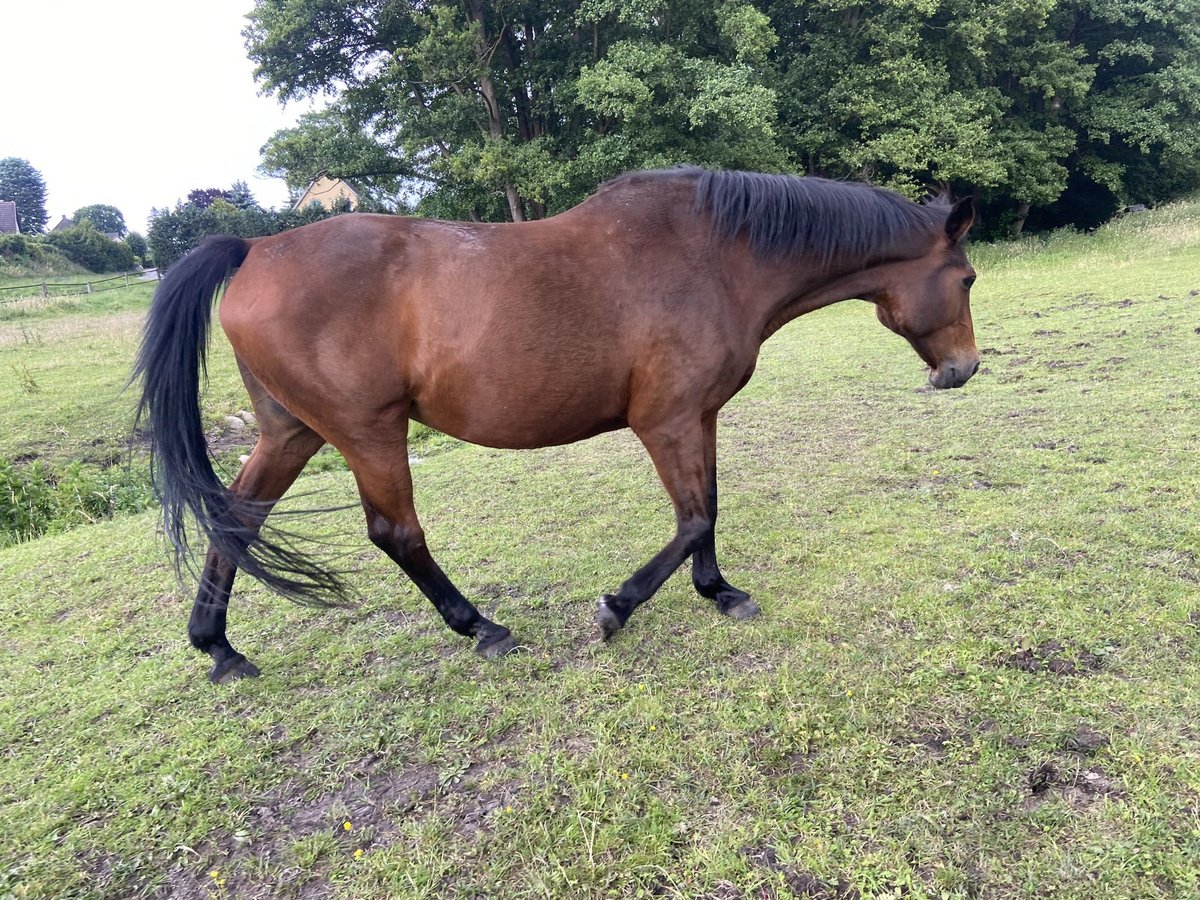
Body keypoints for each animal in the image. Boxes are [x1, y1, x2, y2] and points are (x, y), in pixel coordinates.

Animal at [133, 168, 974, 681]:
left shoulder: (697, 416)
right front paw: (618, 609)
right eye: (965, 278)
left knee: (236, 519)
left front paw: (719, 591)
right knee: (396, 534)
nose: (963, 369)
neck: (715, 258)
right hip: (366, 432)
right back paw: (481, 627)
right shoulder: (664, 421)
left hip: (292, 432)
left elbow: (706, 510)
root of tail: (255, 248)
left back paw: (218, 647)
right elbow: (693, 517)